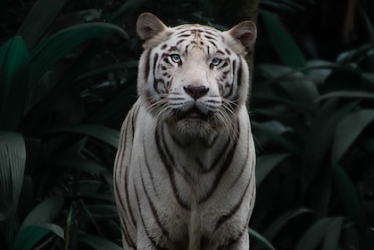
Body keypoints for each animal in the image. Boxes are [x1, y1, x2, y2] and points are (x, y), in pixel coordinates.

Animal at [114, 12, 258, 250]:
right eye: (175, 58)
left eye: (215, 61)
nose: (196, 90)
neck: (196, 148)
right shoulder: (153, 233)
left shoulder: (232, 233)